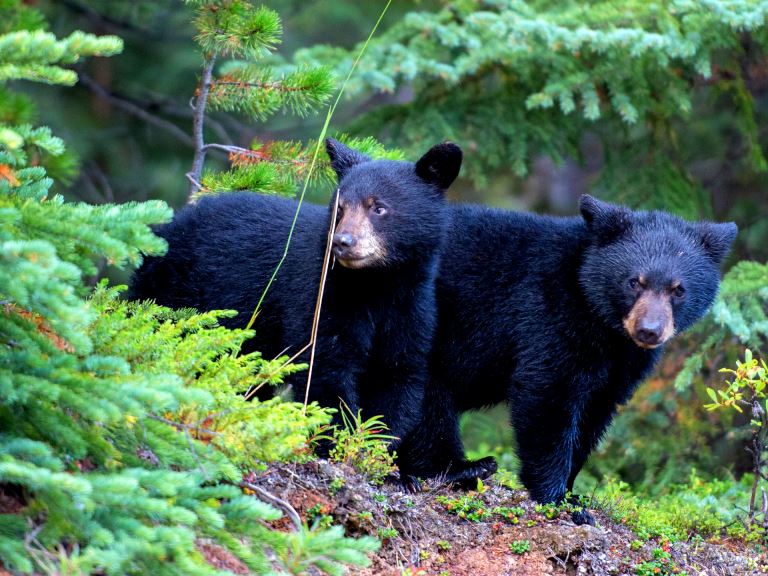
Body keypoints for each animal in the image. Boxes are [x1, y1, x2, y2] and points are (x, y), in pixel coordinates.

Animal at [130, 138, 462, 446]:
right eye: (339, 208)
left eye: (378, 207)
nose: (342, 241)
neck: (376, 284)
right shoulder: (321, 294)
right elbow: (324, 366)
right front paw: (337, 440)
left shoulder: (412, 306)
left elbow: (397, 373)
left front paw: (373, 445)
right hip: (169, 294)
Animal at [400, 196, 736, 520]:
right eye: (634, 282)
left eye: (678, 289)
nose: (649, 331)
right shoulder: (548, 311)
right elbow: (548, 392)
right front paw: (558, 498)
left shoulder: (622, 363)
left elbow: (594, 412)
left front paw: (574, 490)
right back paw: (462, 468)